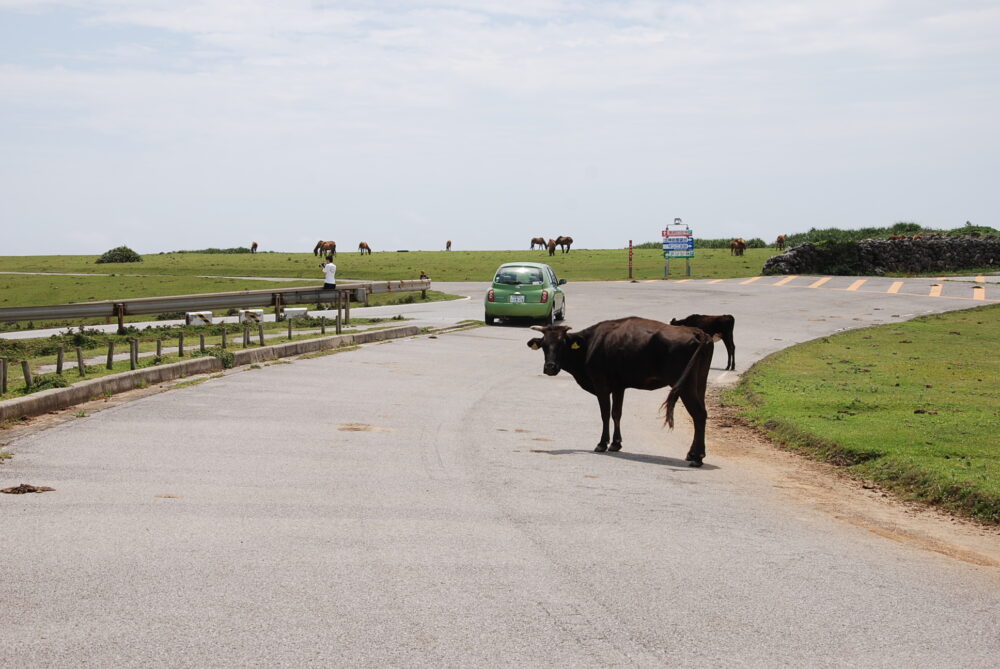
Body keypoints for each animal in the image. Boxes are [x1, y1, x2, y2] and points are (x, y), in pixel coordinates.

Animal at [528, 318, 716, 464]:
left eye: (562, 344)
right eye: (544, 345)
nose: (550, 367)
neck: (590, 344)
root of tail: (697, 332)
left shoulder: (601, 385)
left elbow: (605, 414)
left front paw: (602, 444)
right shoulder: (619, 386)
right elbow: (616, 413)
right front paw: (616, 443)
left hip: (685, 385)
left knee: (698, 414)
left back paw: (697, 457)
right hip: (700, 382)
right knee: (702, 413)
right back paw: (692, 454)